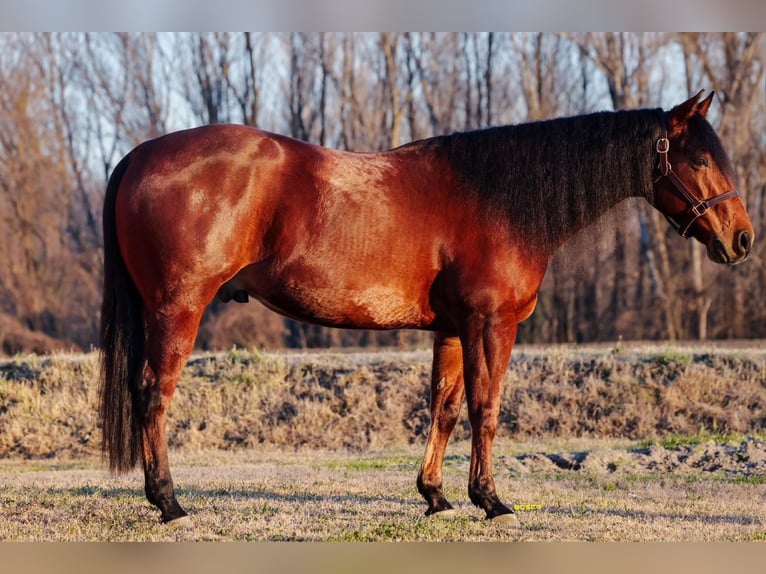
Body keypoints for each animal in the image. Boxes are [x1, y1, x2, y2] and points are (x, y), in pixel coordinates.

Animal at [99, 90, 753, 526]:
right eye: (699, 161)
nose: (742, 240)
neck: (499, 199)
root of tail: (139, 155)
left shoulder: (453, 329)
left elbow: (443, 408)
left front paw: (435, 496)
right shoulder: (492, 325)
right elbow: (486, 410)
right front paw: (491, 501)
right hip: (177, 309)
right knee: (153, 393)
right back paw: (170, 503)